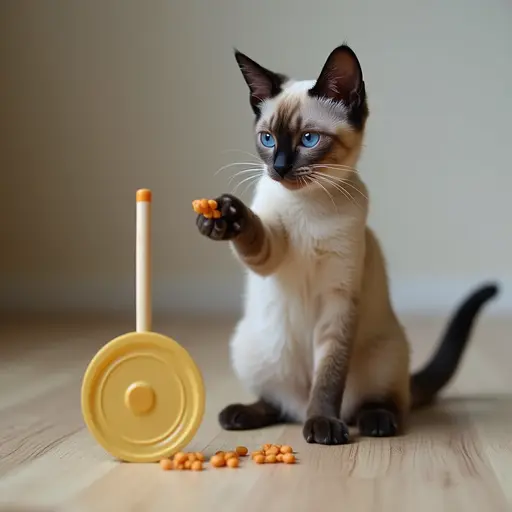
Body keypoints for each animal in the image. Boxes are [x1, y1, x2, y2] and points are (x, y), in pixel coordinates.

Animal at [194, 44, 498, 444]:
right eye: (268, 139)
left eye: (309, 139)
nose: (279, 168)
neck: (309, 203)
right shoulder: (270, 254)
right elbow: (254, 235)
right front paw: (223, 216)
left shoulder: (338, 299)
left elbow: (328, 379)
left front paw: (322, 425)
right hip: (252, 350)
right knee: (278, 404)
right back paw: (240, 414)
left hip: (384, 355)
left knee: (377, 402)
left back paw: (375, 421)